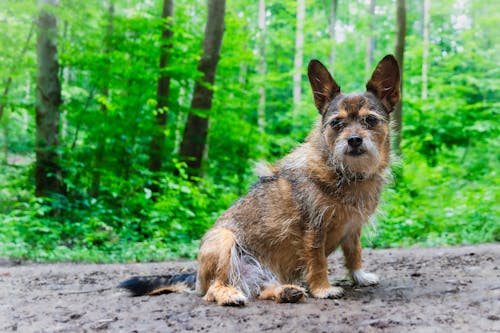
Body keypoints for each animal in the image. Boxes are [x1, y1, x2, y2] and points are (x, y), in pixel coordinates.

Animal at [119, 54, 400, 306]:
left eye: (370, 120)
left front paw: (360, 276)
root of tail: (197, 278)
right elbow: (318, 261)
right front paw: (323, 289)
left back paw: (286, 291)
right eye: (337, 124)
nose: (354, 140)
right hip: (224, 241)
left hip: (260, 274)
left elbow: (355, 254)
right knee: (215, 290)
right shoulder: (314, 230)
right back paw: (230, 295)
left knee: (260, 289)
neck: (346, 173)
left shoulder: (352, 229)